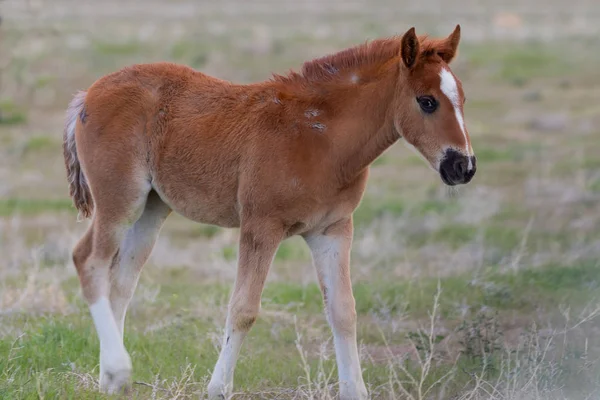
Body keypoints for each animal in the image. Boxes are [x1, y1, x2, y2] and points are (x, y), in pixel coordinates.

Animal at [64, 25, 478, 400]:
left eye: (462, 98)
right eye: (427, 101)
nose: (464, 167)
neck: (321, 138)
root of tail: (88, 94)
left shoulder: (333, 229)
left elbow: (343, 311)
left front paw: (355, 390)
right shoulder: (261, 225)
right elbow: (243, 308)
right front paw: (218, 388)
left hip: (152, 207)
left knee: (121, 283)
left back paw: (112, 381)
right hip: (121, 199)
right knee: (89, 261)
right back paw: (118, 369)